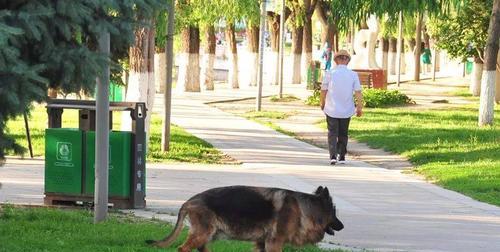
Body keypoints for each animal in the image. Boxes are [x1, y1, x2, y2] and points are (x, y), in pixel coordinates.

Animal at [146, 184, 344, 251]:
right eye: (335, 214)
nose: (342, 226)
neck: (306, 209)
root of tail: (189, 201)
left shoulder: (263, 243)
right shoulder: (274, 242)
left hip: (209, 234)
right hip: (204, 232)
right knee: (183, 248)